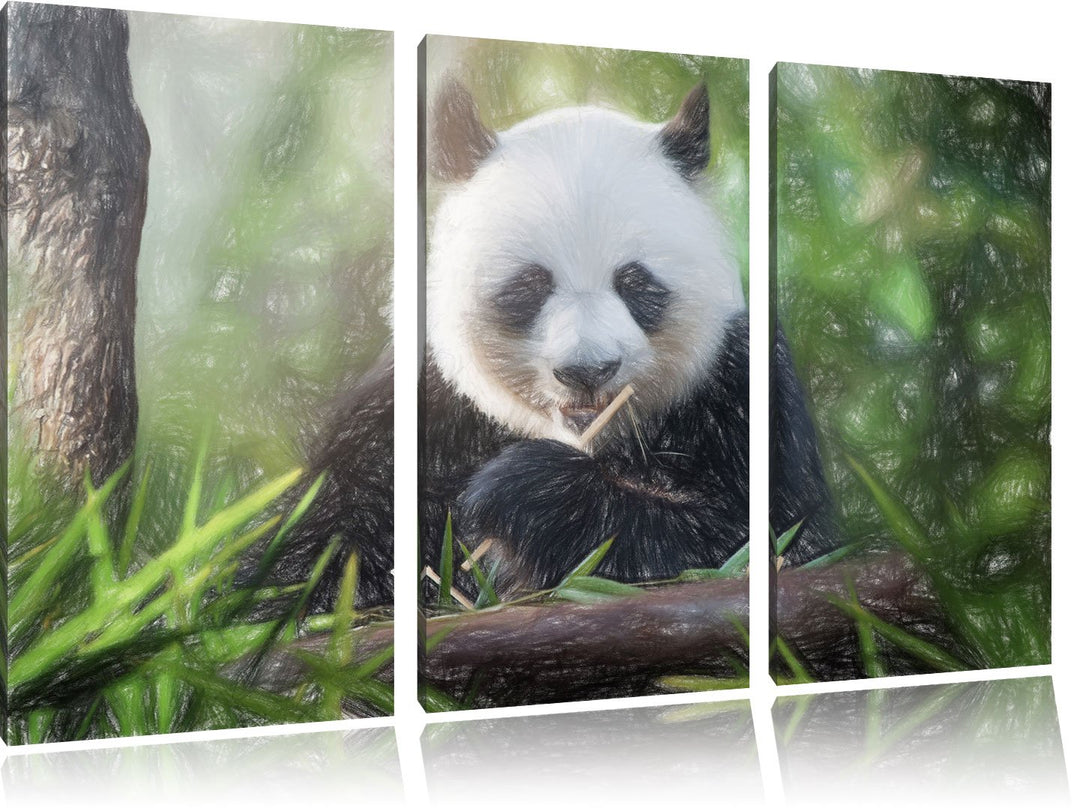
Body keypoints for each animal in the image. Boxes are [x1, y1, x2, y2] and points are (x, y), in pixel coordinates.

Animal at [280, 79, 835, 610]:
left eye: (635, 283)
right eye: (530, 286)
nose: (588, 371)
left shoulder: (740, 389)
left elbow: (762, 541)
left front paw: (523, 489)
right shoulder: (414, 410)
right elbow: (318, 554)